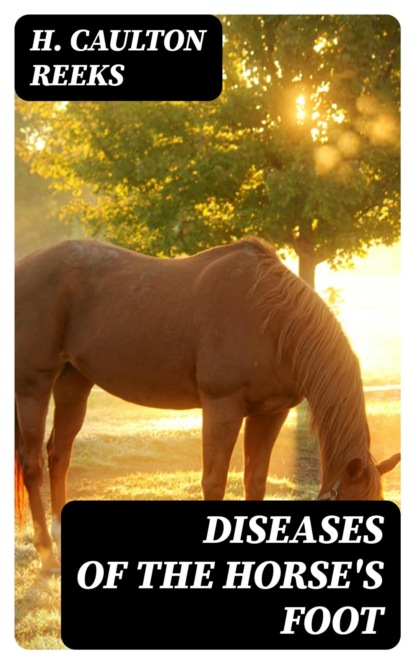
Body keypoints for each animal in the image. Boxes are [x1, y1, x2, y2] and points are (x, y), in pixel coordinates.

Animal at [15, 237, 400, 572]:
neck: (272, 320)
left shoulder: (270, 413)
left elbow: (254, 481)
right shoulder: (222, 408)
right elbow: (214, 482)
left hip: (74, 381)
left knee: (59, 455)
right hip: (33, 384)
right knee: (33, 463)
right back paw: (46, 553)